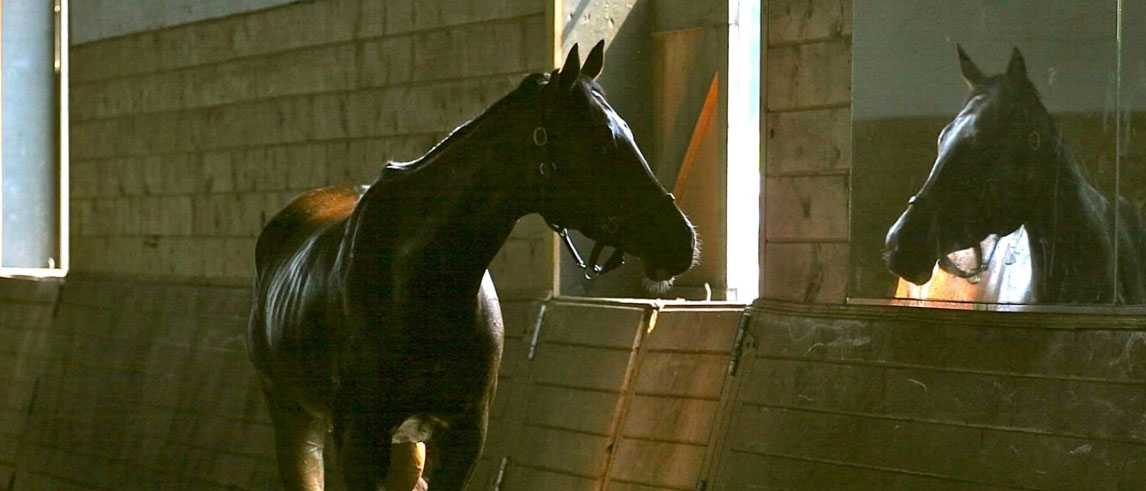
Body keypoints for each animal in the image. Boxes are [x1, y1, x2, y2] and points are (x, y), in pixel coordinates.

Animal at [248, 42, 696, 491]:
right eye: (599, 141)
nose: (683, 241)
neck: (414, 279)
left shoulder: (464, 437)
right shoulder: (359, 441)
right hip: (296, 420)